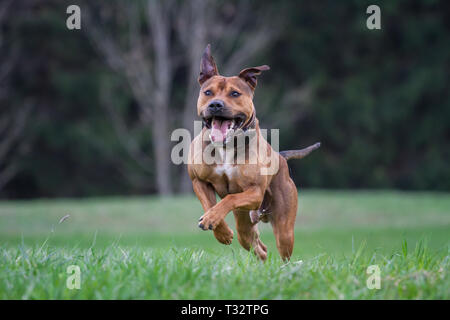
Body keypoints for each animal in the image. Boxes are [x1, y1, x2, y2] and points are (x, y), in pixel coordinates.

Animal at [186, 44, 320, 260]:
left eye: (234, 94)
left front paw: (213, 220)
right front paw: (220, 230)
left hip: (283, 226)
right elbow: (209, 204)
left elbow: (231, 197)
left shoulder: (255, 192)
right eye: (207, 92)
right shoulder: (199, 181)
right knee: (258, 247)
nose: (215, 104)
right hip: (245, 225)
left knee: (283, 251)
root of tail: (281, 157)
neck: (226, 145)